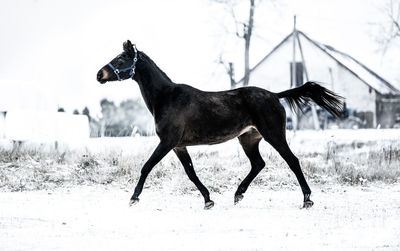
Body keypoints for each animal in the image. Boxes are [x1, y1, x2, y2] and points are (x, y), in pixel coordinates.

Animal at [97, 40, 344, 209]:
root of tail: (275, 95)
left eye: (121, 60)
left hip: (274, 135)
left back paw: (307, 199)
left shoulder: (167, 142)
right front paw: (208, 199)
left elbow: (147, 166)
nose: (99, 74)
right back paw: (238, 194)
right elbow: (190, 172)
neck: (166, 98)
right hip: (248, 139)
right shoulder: (178, 146)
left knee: (292, 161)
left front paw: (133, 197)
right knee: (258, 164)